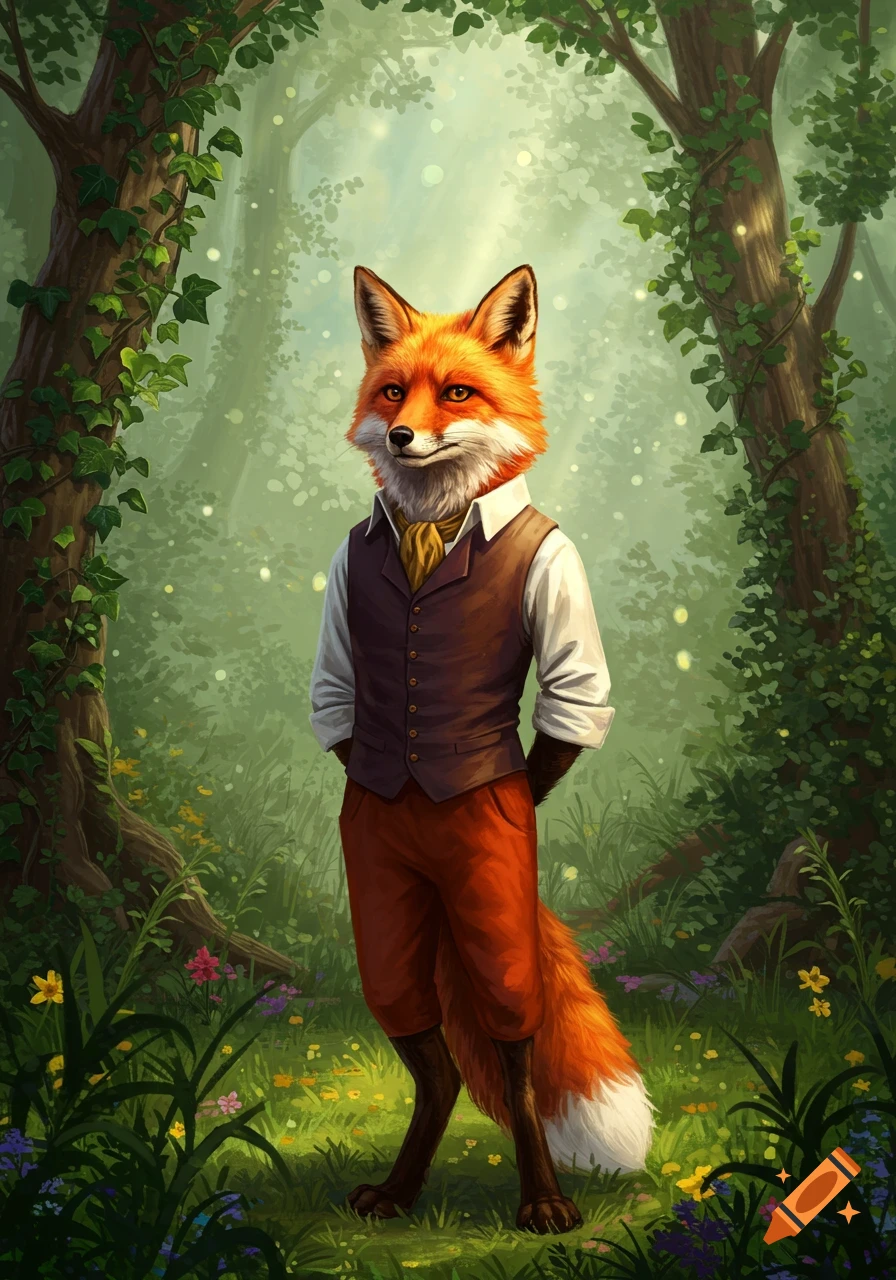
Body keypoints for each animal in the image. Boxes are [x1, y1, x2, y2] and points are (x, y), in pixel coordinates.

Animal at [312, 263, 653, 1233]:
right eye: (394, 392)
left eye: (458, 393)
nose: (401, 435)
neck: (434, 526)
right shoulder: (344, 609)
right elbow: (339, 701)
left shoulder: (564, 599)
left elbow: (574, 704)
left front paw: (543, 1200)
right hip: (392, 915)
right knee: (437, 1065)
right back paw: (399, 1188)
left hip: (487, 906)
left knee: (507, 1045)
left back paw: (541, 1197)